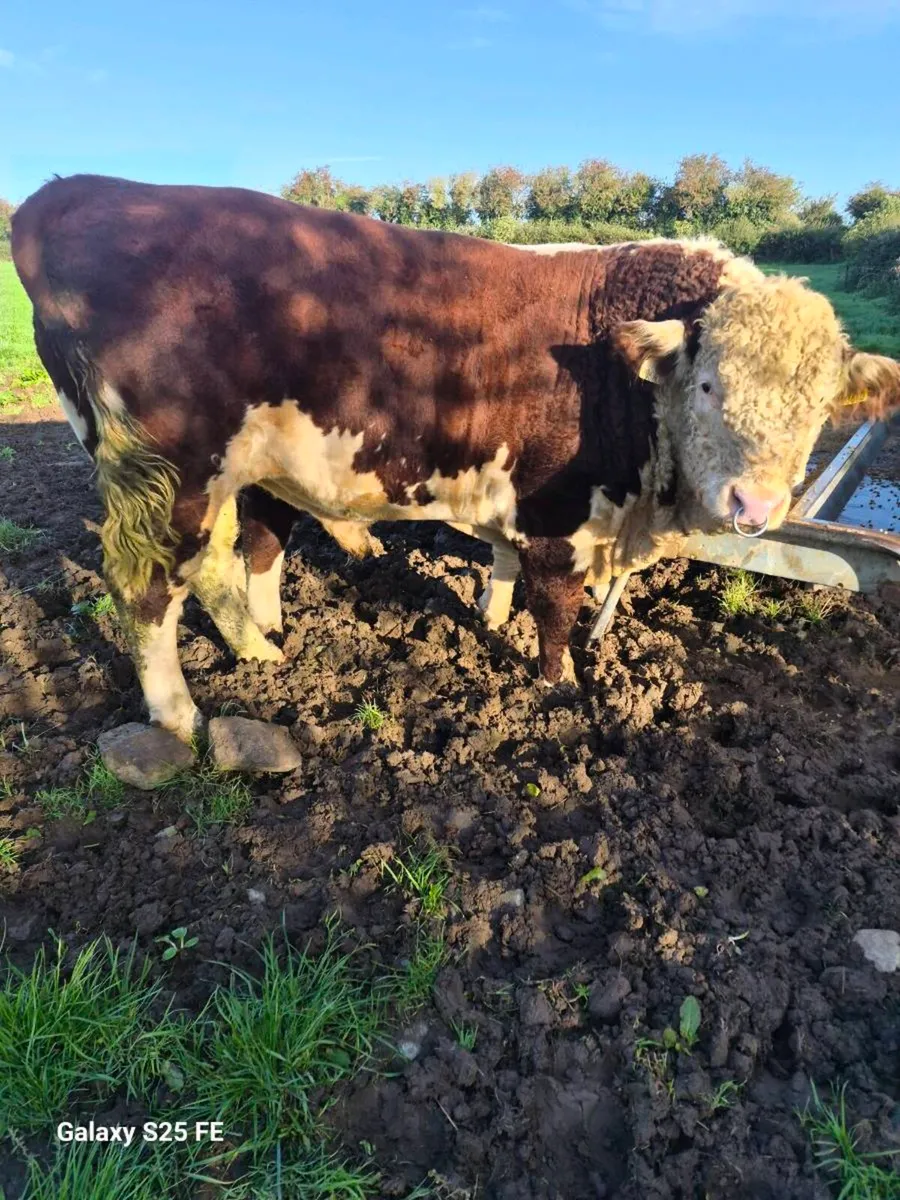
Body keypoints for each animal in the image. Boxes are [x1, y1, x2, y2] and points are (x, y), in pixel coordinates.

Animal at [12, 174, 900, 741]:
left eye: (819, 408)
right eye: (711, 384)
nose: (757, 507)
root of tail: (77, 191)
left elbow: (503, 570)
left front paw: (490, 616)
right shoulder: (558, 512)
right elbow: (554, 610)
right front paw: (559, 687)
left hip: (236, 467)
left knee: (230, 558)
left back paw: (262, 650)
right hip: (168, 474)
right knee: (150, 585)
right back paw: (178, 716)